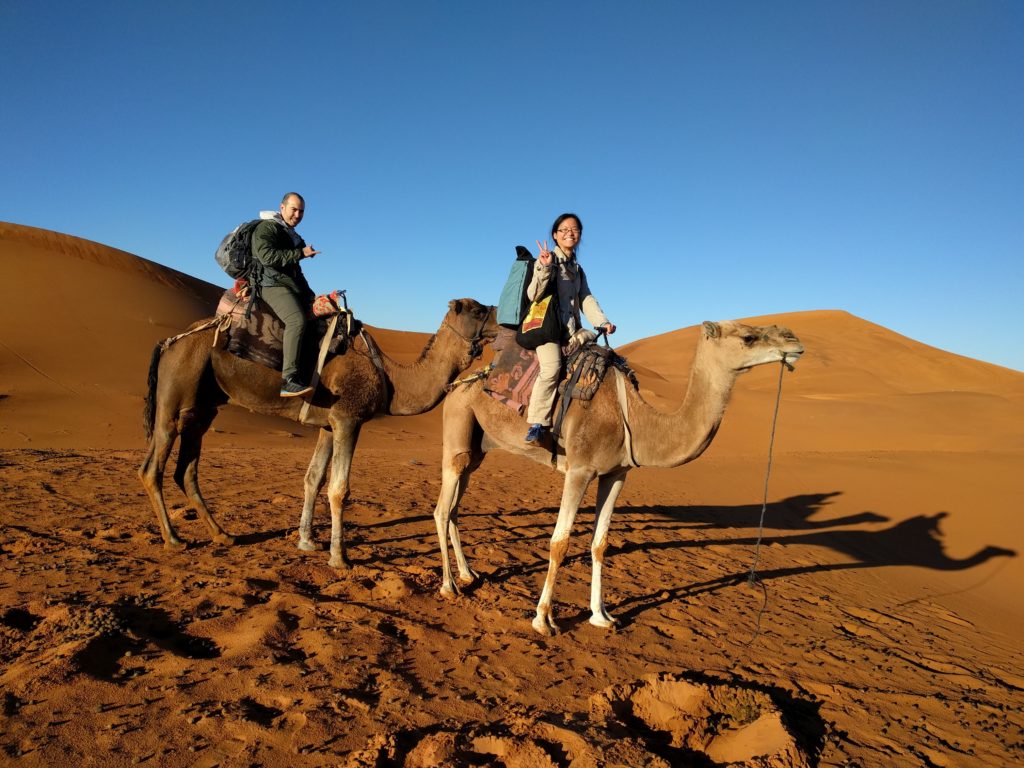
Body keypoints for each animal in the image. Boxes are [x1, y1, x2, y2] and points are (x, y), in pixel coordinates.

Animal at [140, 296, 499, 569]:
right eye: (478, 310)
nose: (503, 322)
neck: (390, 377)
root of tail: (169, 342)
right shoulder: (348, 419)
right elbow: (339, 489)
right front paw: (339, 557)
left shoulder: (328, 425)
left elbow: (313, 478)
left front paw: (306, 540)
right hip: (176, 393)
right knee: (152, 467)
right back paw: (174, 539)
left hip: (203, 407)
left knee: (185, 469)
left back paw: (222, 534)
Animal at [428, 319, 802, 638]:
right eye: (748, 337)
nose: (794, 340)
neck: (635, 419)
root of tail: (458, 384)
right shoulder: (579, 470)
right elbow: (560, 543)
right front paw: (543, 619)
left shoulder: (616, 474)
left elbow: (600, 543)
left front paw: (601, 616)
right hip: (458, 428)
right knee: (441, 509)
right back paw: (449, 586)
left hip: (477, 450)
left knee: (455, 507)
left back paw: (467, 573)